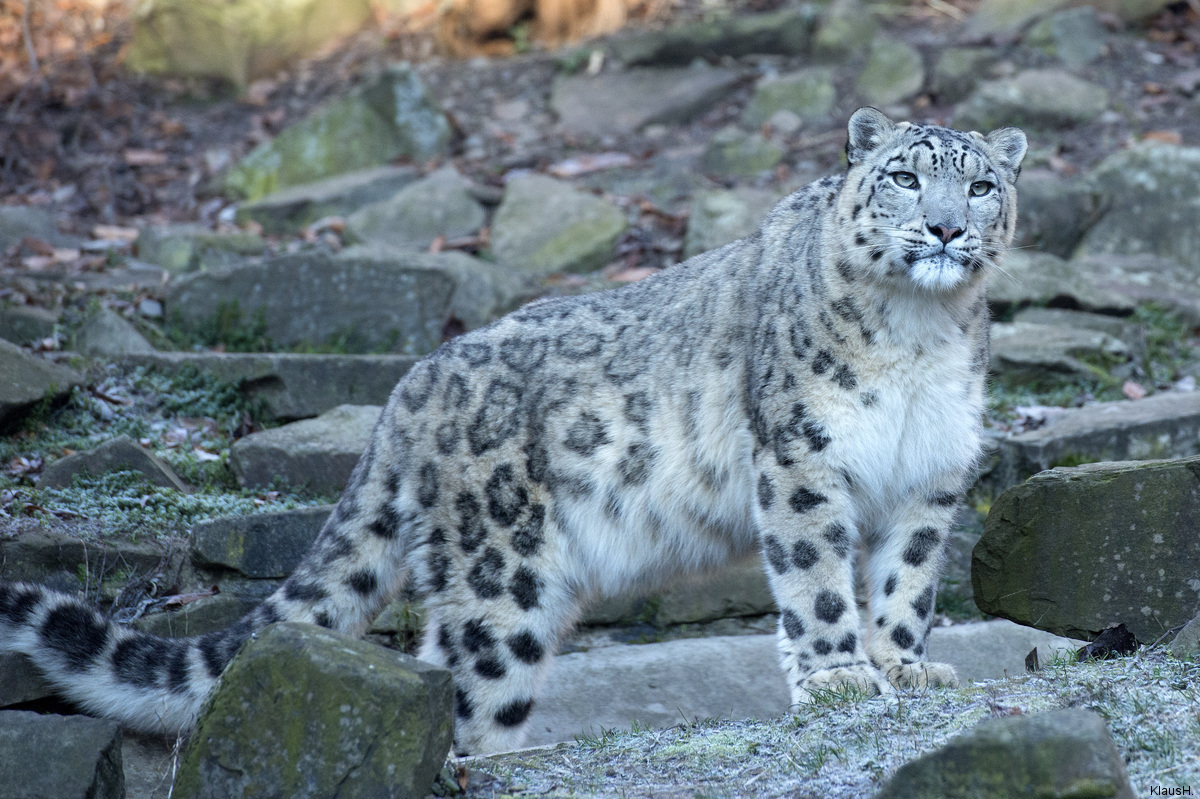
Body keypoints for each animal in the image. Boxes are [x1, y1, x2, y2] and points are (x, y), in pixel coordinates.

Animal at [2, 107, 1032, 753]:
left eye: (982, 185)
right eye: (903, 176)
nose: (946, 229)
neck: (918, 335)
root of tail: (409, 387)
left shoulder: (930, 474)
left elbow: (905, 582)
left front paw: (906, 669)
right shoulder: (802, 456)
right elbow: (818, 577)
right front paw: (841, 676)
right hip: (503, 573)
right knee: (473, 691)